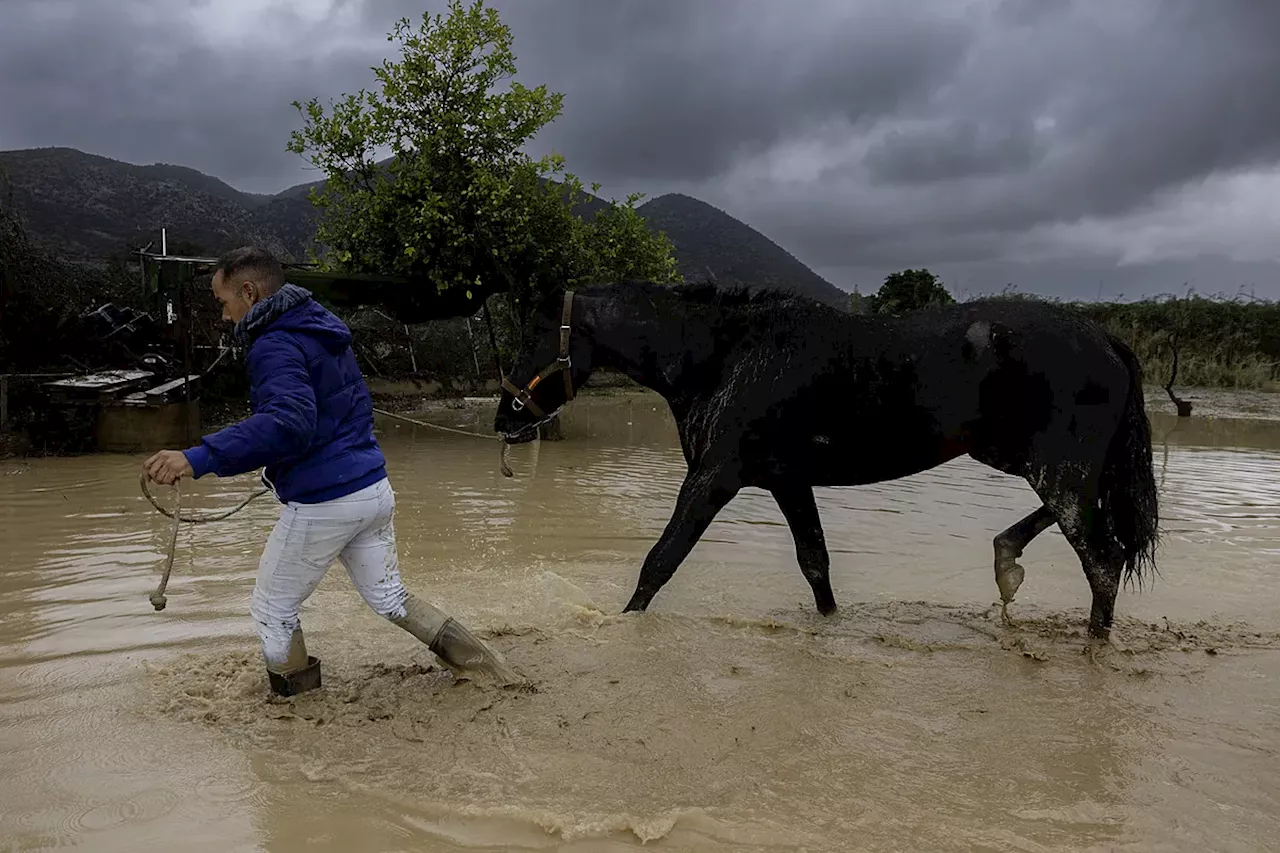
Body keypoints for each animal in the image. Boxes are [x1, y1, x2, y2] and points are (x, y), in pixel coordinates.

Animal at [488, 279, 1162, 637]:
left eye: (535, 335)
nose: (506, 420)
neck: (726, 355)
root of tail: (1105, 338)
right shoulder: (788, 481)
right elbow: (816, 564)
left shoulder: (712, 479)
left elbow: (660, 562)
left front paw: (622, 624)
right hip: (1022, 458)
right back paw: (1006, 560)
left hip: (1056, 469)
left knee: (1103, 559)